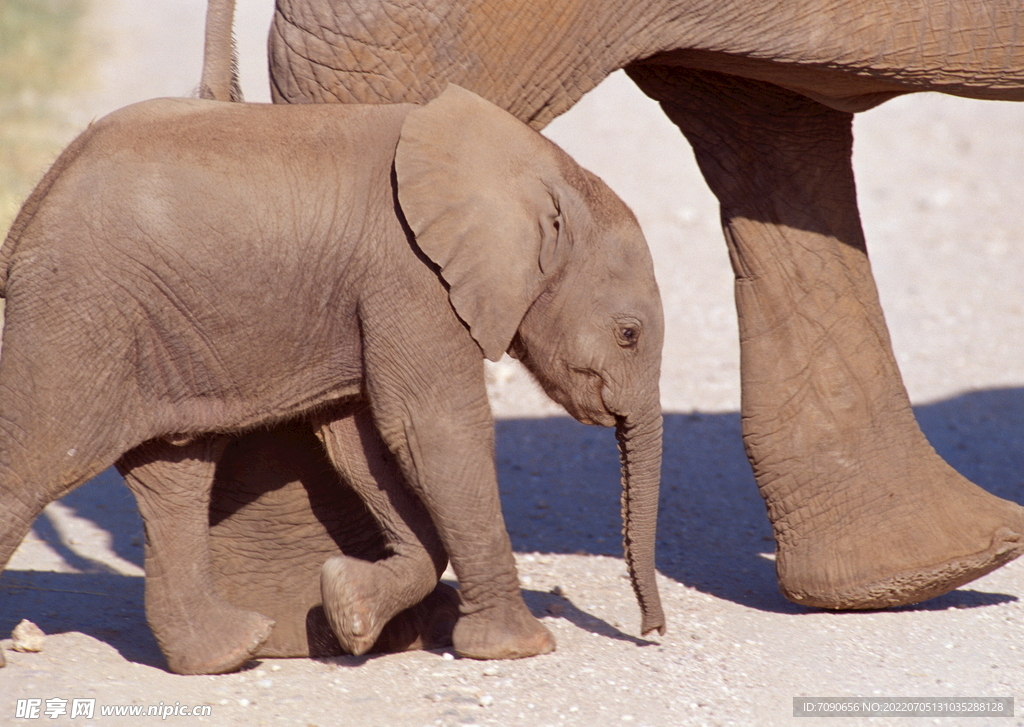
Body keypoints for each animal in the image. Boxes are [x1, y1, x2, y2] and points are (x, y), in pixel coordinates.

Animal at [0, 83, 667, 671]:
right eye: (628, 334)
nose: (653, 633)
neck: (537, 169)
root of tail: (34, 202)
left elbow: (364, 442)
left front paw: (350, 606)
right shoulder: (410, 274)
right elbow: (433, 430)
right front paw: (518, 649)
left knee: (173, 480)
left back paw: (228, 652)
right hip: (79, 313)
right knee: (35, 460)